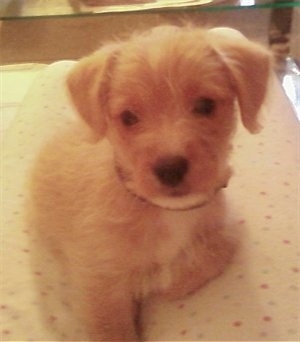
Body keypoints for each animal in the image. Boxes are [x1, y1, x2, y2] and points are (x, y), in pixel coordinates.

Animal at [30, 25, 272, 340]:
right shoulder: (98, 278)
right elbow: (112, 328)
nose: (170, 170)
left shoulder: (224, 227)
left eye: (205, 105)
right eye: (128, 117)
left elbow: (212, 251)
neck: (166, 210)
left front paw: (163, 280)